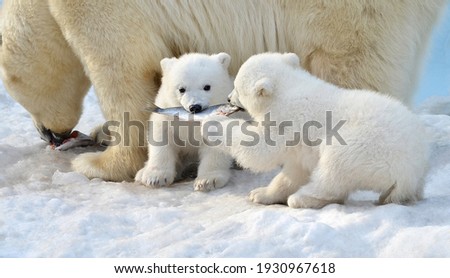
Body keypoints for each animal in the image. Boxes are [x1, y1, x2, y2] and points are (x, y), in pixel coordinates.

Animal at [0, 0, 444, 181]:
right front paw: (99, 134)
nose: (49, 135)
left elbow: (125, 68)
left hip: (346, 12)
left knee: (351, 66)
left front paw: (101, 164)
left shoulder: (99, 9)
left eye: (14, 91)